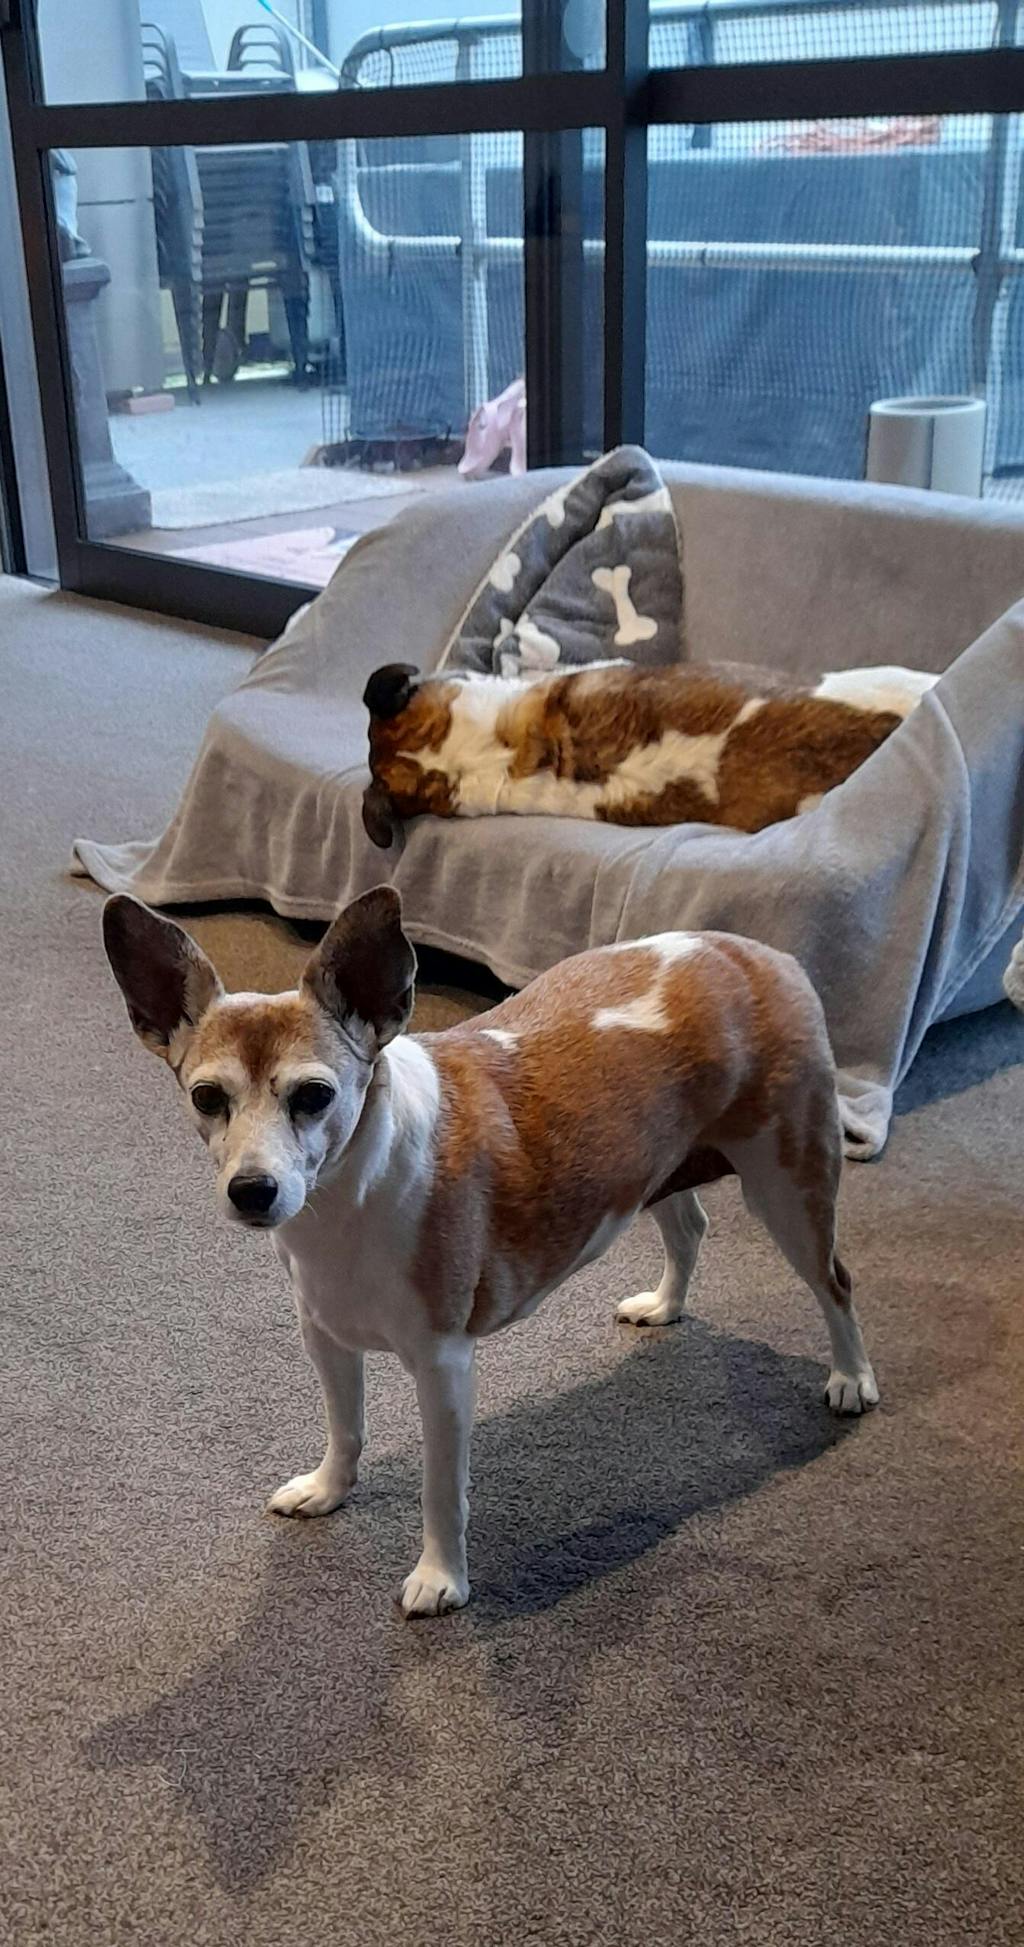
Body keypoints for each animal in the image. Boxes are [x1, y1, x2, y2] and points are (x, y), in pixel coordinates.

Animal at [102, 887, 878, 1616]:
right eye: (207, 1097)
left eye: (315, 1095)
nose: (252, 1190)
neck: (351, 1194)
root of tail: (757, 952)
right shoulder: (325, 1336)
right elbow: (344, 1428)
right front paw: (328, 1489)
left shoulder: (443, 1365)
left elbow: (442, 1489)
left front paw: (441, 1577)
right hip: (651, 1166)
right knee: (689, 1226)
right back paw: (666, 1304)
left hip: (791, 1187)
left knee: (837, 1284)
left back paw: (851, 1379)